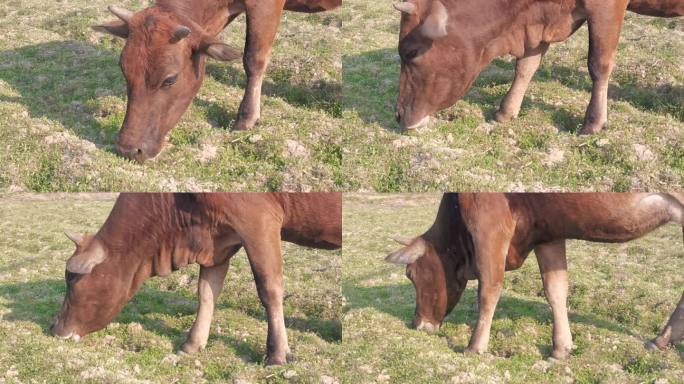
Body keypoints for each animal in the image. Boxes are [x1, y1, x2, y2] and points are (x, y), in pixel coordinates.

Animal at [51, 194, 342, 364]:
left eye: (73, 280)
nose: (55, 328)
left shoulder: (258, 219)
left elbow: (269, 289)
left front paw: (277, 354)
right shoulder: (218, 241)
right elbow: (206, 293)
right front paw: (192, 343)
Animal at [388, 195, 684, 360]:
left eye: (411, 274)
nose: (416, 324)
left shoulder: (489, 223)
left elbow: (489, 289)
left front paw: (475, 347)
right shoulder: (548, 233)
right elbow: (555, 289)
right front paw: (561, 348)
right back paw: (661, 340)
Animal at [392, 0, 684, 132]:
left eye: (410, 52)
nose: (398, 115)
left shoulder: (607, 6)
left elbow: (598, 63)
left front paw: (593, 123)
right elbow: (526, 66)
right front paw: (506, 110)